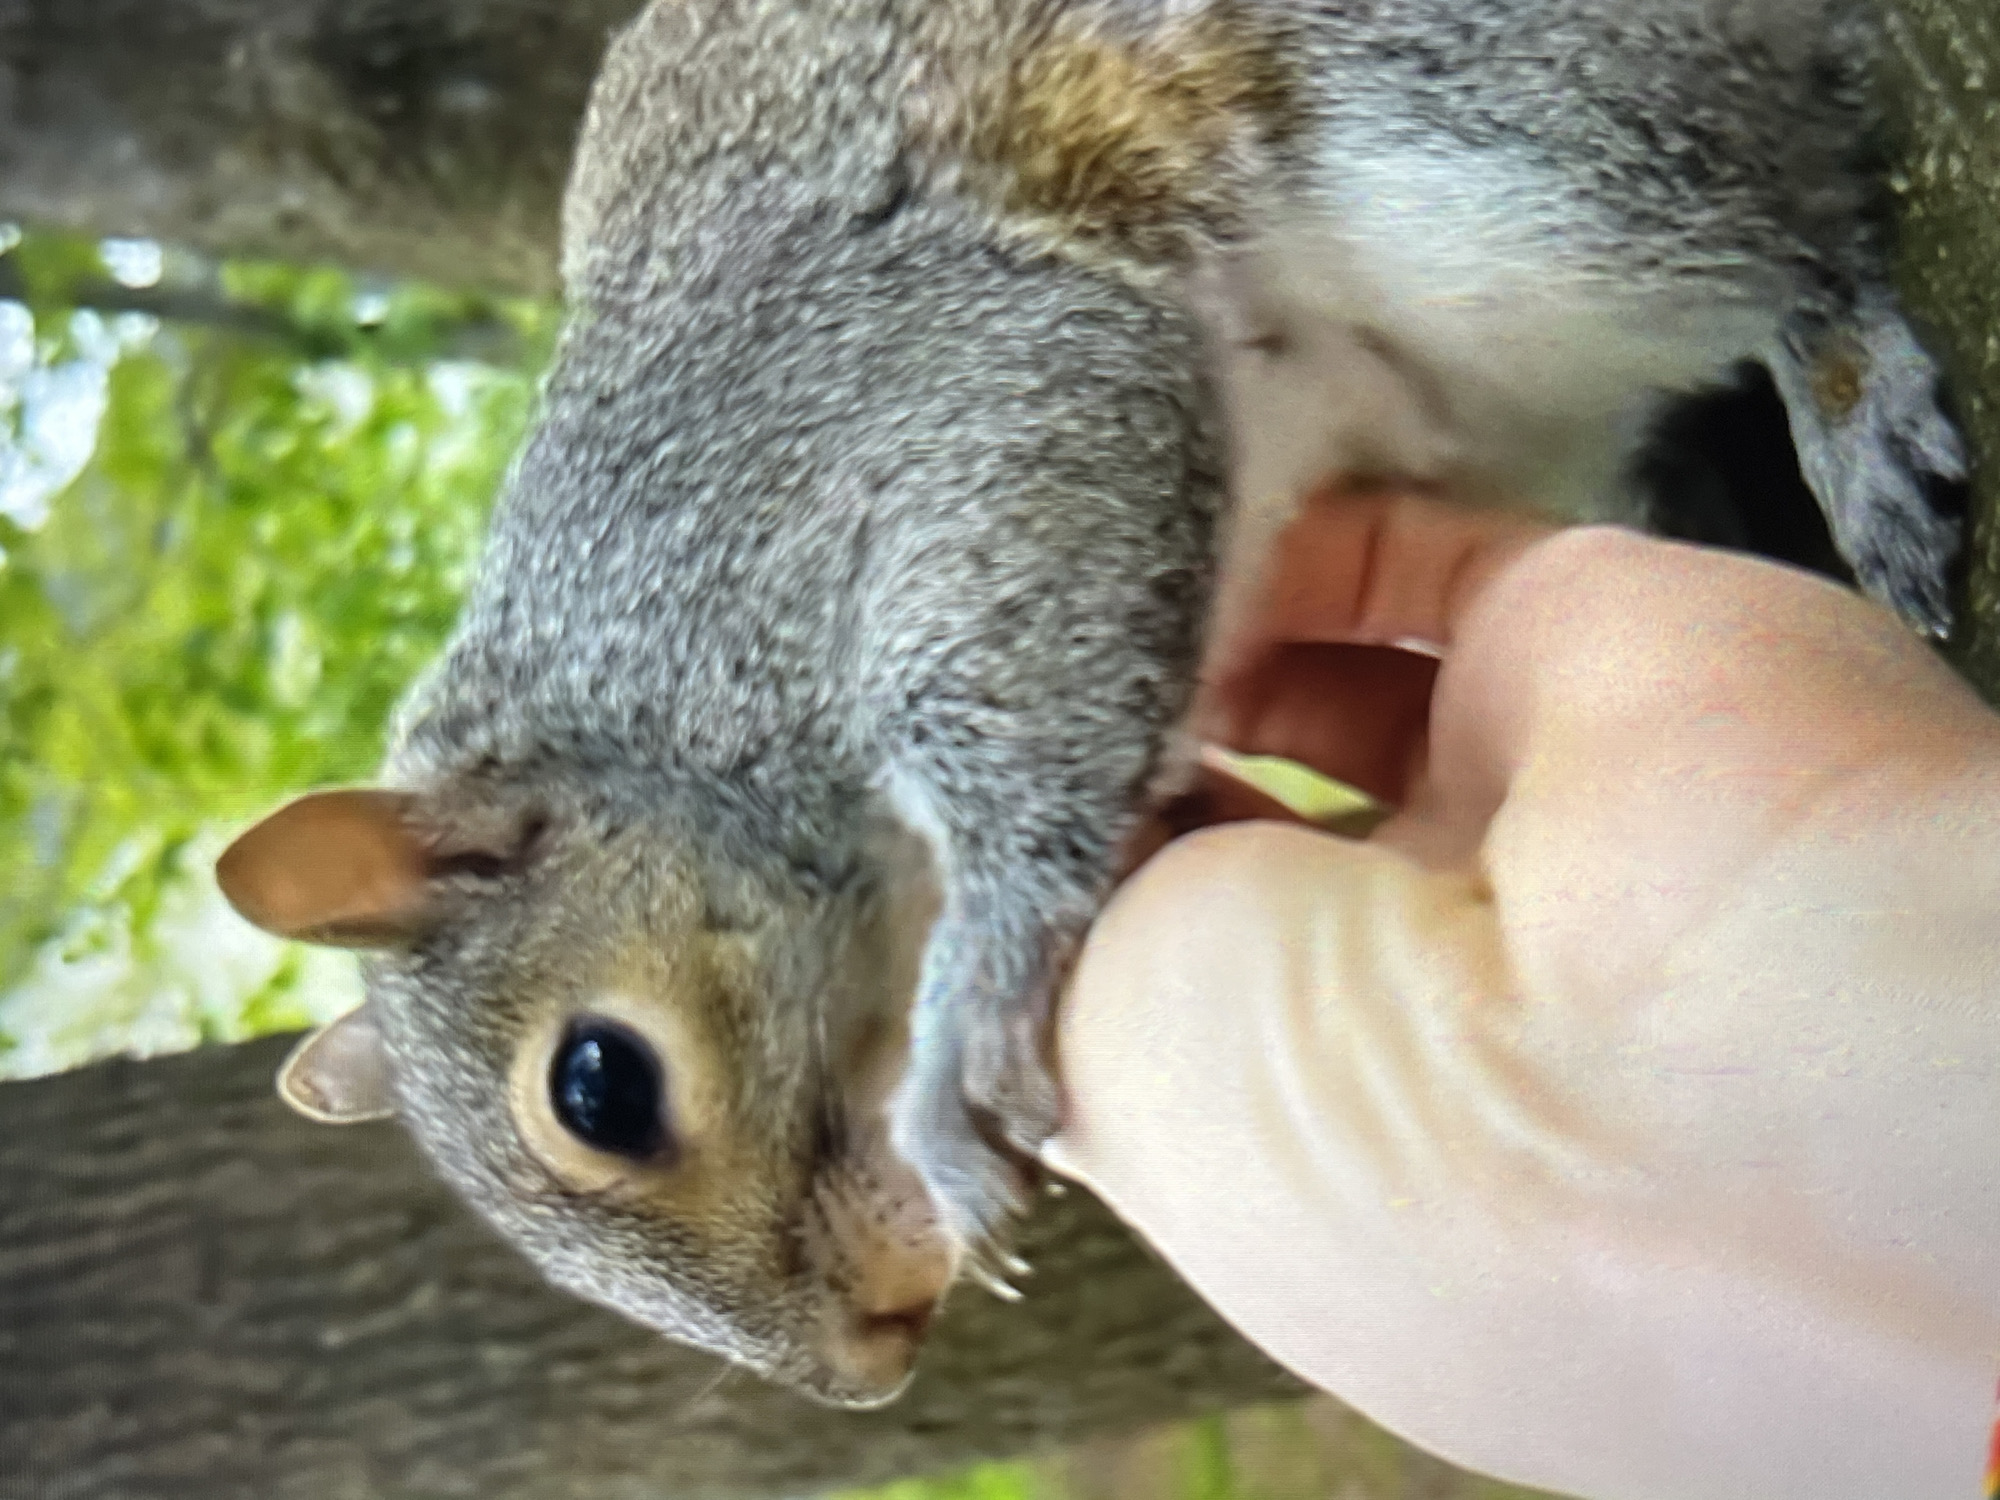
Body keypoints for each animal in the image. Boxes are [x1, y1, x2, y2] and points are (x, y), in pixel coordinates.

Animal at [216, 0, 1967, 1409]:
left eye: (600, 1086)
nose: (864, 1371)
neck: (645, 680)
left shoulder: (916, 405)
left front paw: (979, 999)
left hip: (1492, 151)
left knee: (1789, 207)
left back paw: (1849, 387)